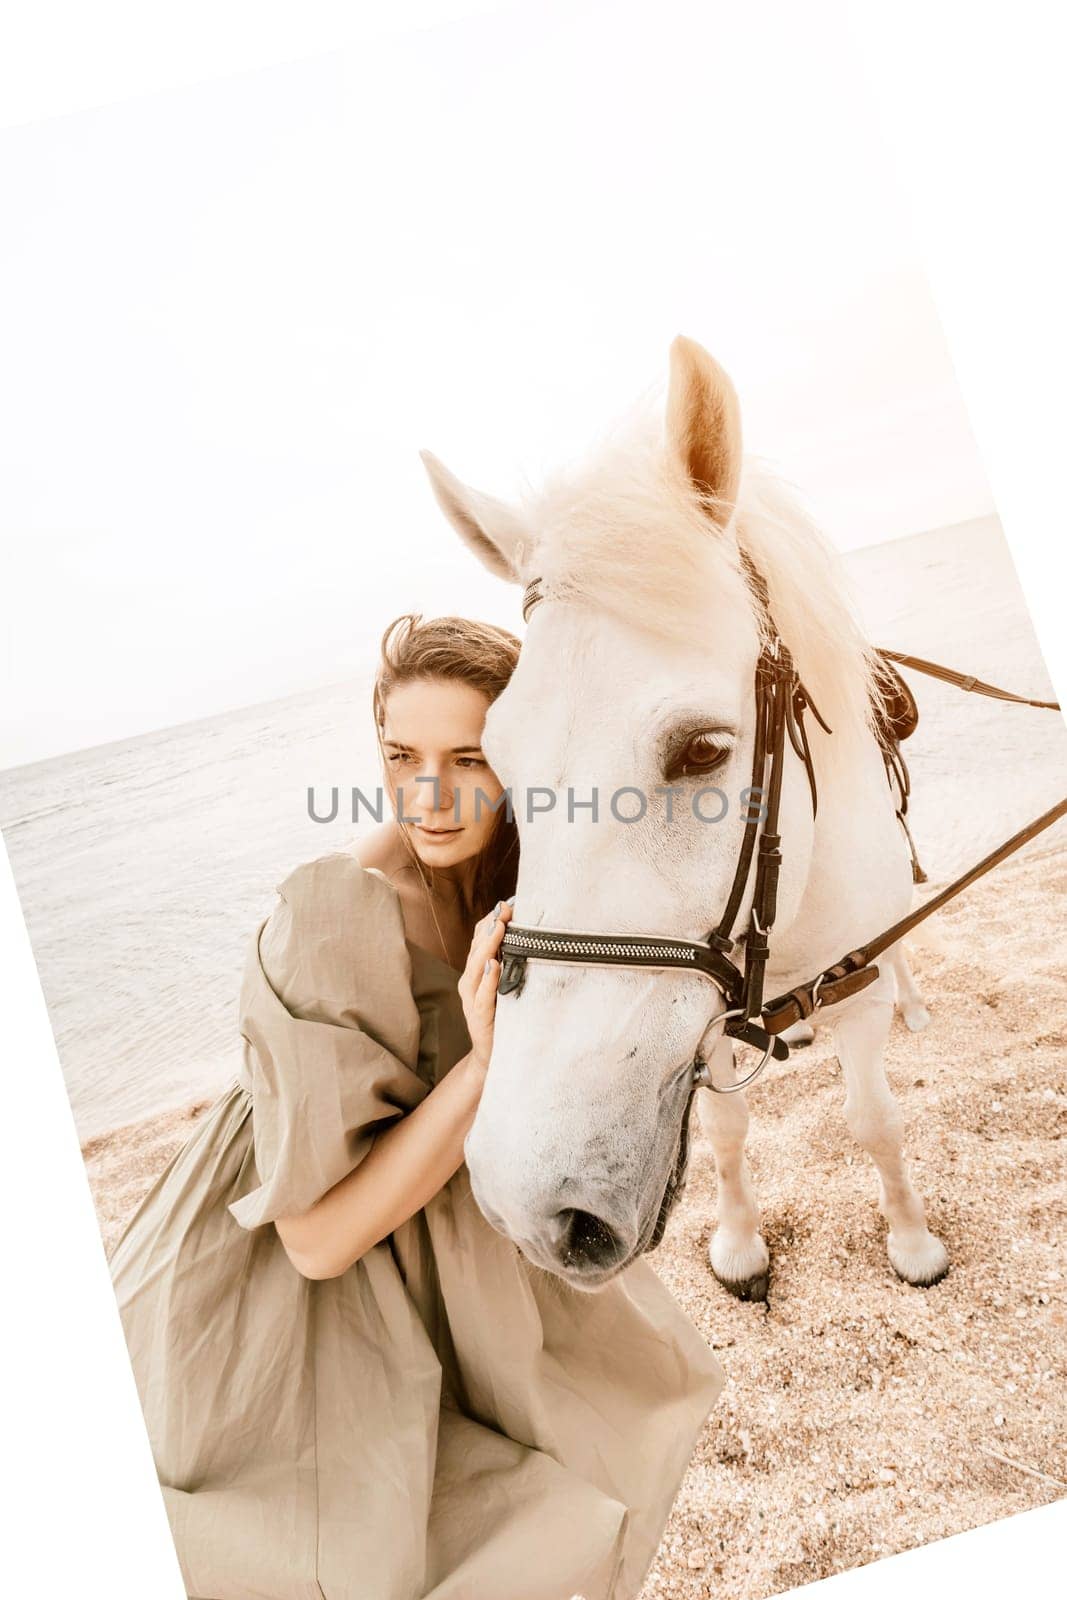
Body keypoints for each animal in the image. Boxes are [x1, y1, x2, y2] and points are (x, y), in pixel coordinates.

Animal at [422, 337, 947, 1299]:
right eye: (497, 760)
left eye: (702, 750)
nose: (530, 1208)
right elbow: (727, 1133)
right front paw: (739, 1244)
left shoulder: (851, 993)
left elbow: (872, 1118)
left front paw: (911, 1241)